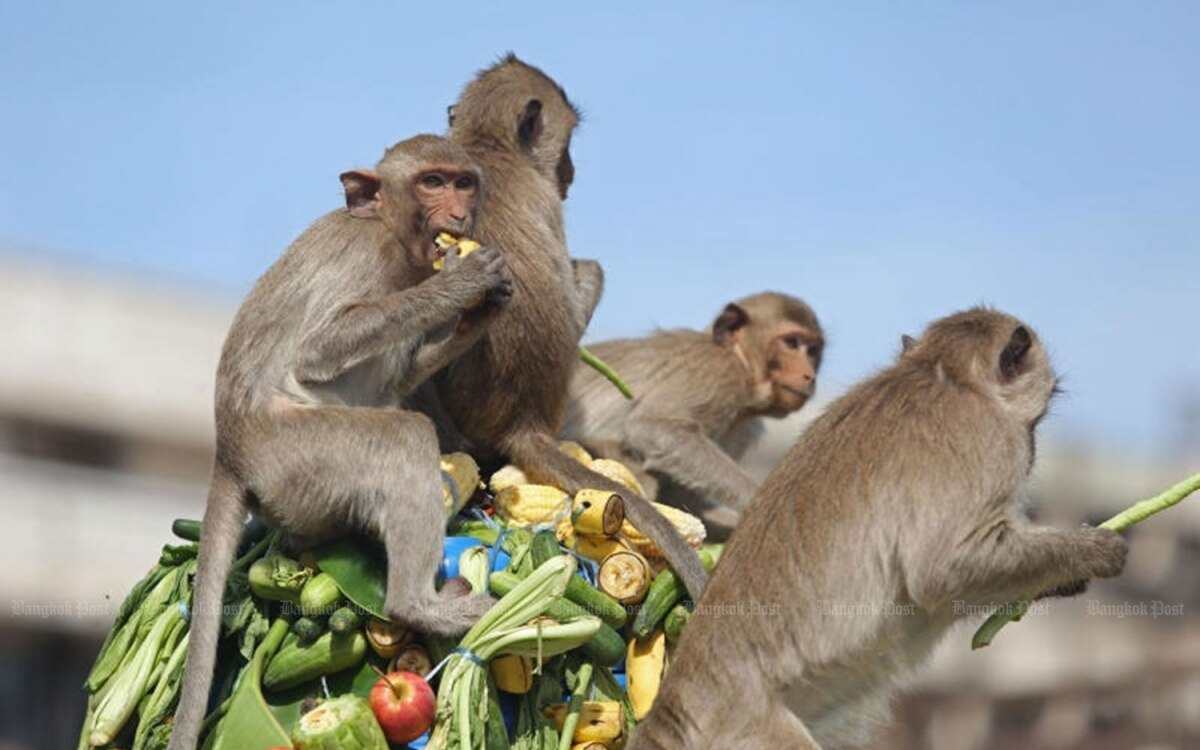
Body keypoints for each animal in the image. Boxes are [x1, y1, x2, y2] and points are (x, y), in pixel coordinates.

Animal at [165, 133, 511, 748]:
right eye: (432, 182)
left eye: (463, 182)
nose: (460, 213)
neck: (391, 232)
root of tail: (231, 453)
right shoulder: (367, 258)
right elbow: (321, 350)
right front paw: (461, 283)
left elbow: (394, 378)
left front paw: (482, 311)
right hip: (300, 456)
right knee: (402, 437)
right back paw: (416, 606)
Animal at [561, 289, 825, 535]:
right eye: (792, 343)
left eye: (813, 351)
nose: (810, 376)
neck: (740, 360)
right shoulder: (719, 373)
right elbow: (652, 426)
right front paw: (760, 500)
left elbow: (684, 500)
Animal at [633, 306, 1128, 748]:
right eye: (1035, 425)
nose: (1035, 449)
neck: (944, 373)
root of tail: (679, 702)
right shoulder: (989, 439)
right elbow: (942, 570)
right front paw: (1095, 552)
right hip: (751, 734)